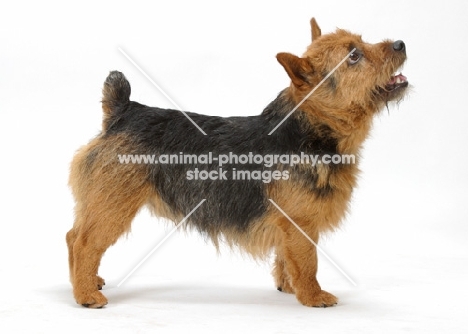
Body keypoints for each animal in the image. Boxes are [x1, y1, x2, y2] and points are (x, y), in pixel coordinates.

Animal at [66, 18, 410, 308]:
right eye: (353, 55)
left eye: (362, 42)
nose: (401, 44)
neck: (309, 130)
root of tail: (123, 111)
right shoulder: (300, 224)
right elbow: (307, 262)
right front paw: (313, 296)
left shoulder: (287, 227)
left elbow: (286, 259)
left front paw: (289, 287)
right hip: (114, 205)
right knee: (83, 242)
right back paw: (86, 295)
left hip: (100, 201)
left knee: (75, 236)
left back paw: (88, 281)